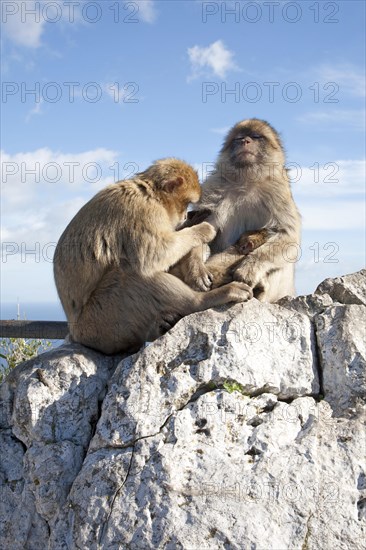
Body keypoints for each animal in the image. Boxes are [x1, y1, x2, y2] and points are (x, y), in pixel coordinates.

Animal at [53, 157, 253, 356]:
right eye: (186, 202)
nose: (185, 215)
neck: (150, 193)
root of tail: (76, 334)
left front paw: (195, 265)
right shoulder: (143, 212)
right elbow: (156, 255)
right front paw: (202, 229)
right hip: (102, 324)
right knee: (132, 273)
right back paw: (203, 300)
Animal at [173, 118, 302, 304]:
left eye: (256, 137)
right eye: (239, 138)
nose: (245, 141)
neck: (247, 179)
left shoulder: (278, 191)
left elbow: (288, 236)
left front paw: (249, 268)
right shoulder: (214, 187)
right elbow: (205, 227)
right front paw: (195, 267)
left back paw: (260, 289)